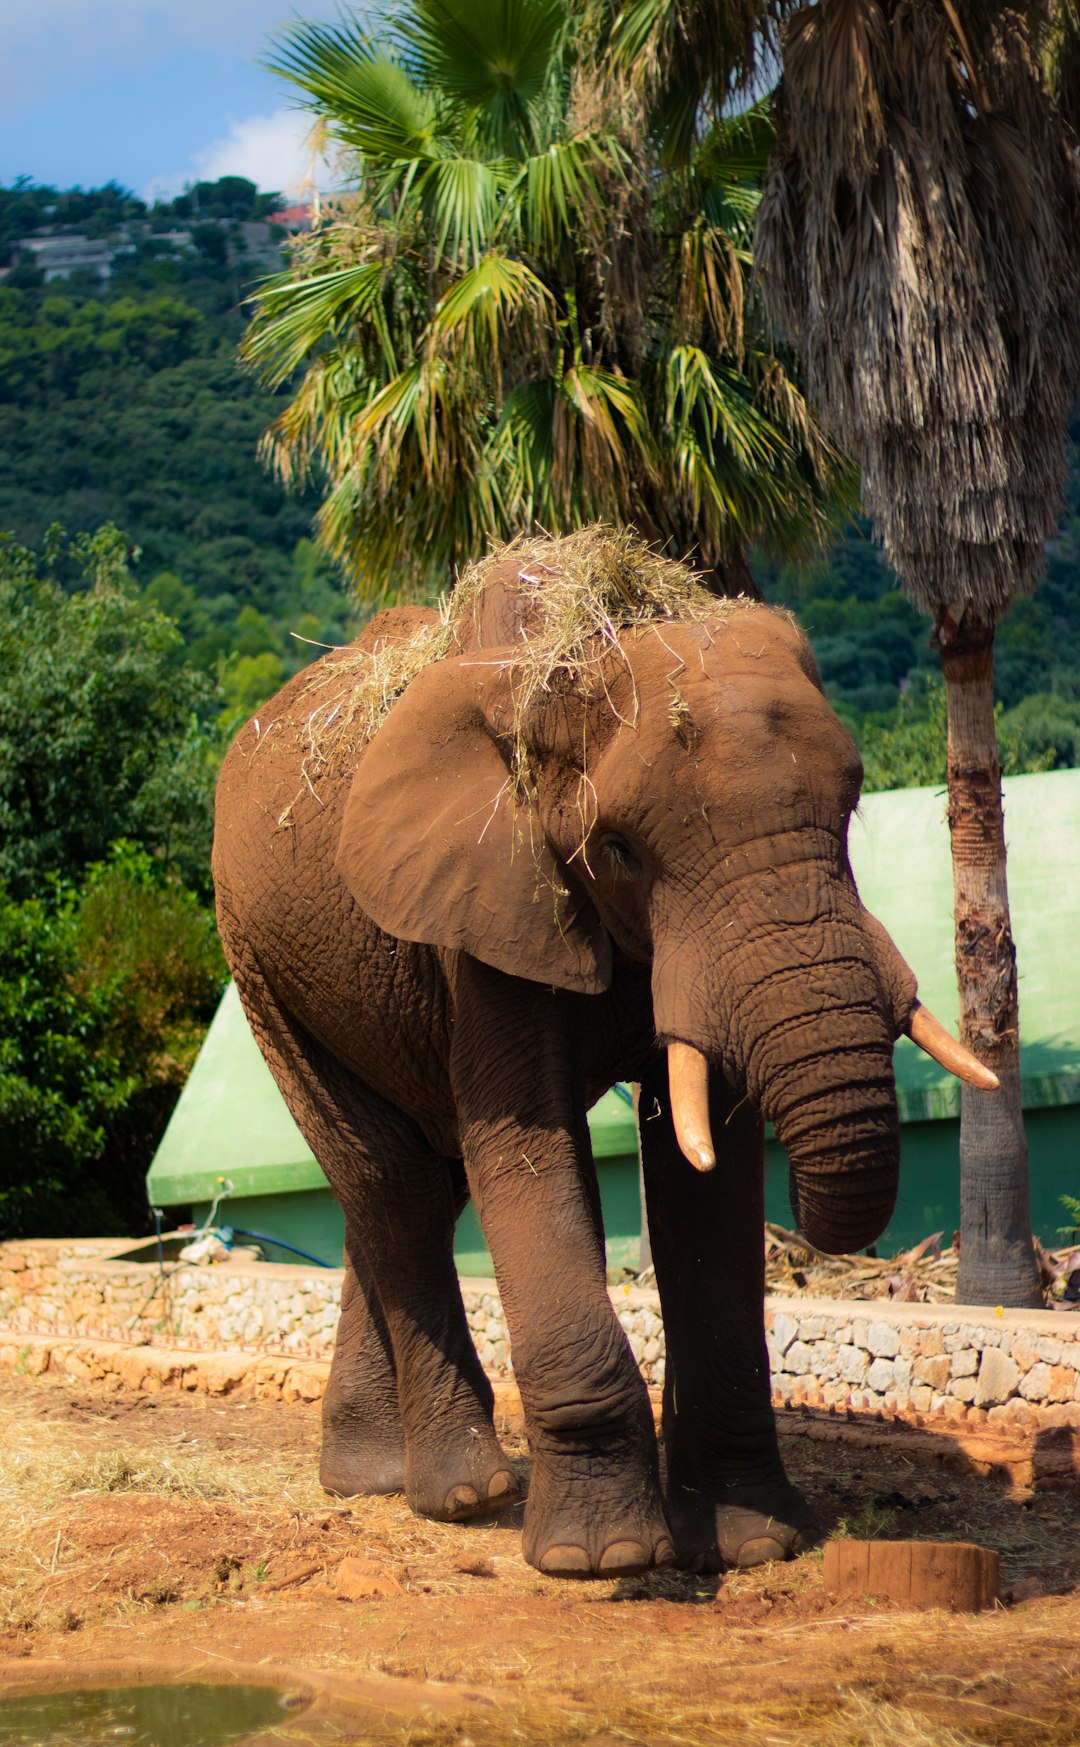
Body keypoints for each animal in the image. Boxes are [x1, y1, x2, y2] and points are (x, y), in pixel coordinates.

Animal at [212, 524, 992, 1579]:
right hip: (259, 964)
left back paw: (373, 1480)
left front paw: (749, 1544)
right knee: (393, 1183)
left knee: (409, 1183)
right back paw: (464, 1495)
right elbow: (528, 1146)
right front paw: (606, 1557)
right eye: (617, 847)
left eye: (852, 807)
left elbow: (710, 1167)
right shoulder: (486, 894)